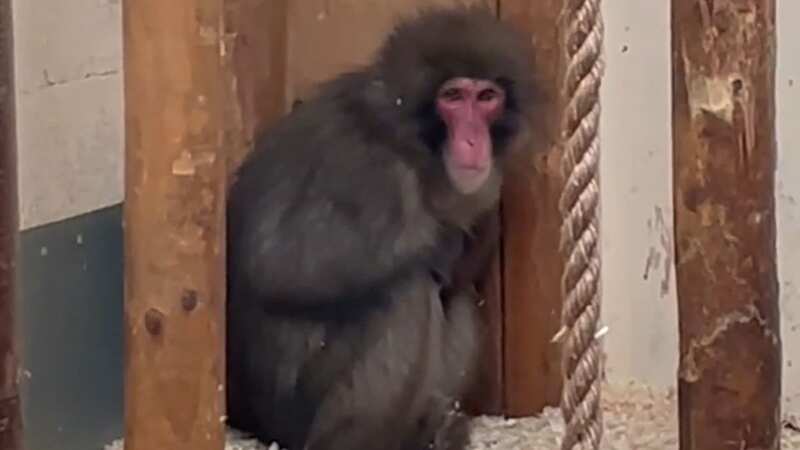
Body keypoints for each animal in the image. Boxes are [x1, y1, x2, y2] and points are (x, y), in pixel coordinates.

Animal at [225, 6, 537, 450]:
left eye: (487, 98)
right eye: (453, 97)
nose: (474, 142)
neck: (414, 143)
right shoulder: (372, 172)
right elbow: (282, 264)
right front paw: (438, 240)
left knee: (454, 295)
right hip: (292, 411)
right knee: (407, 291)